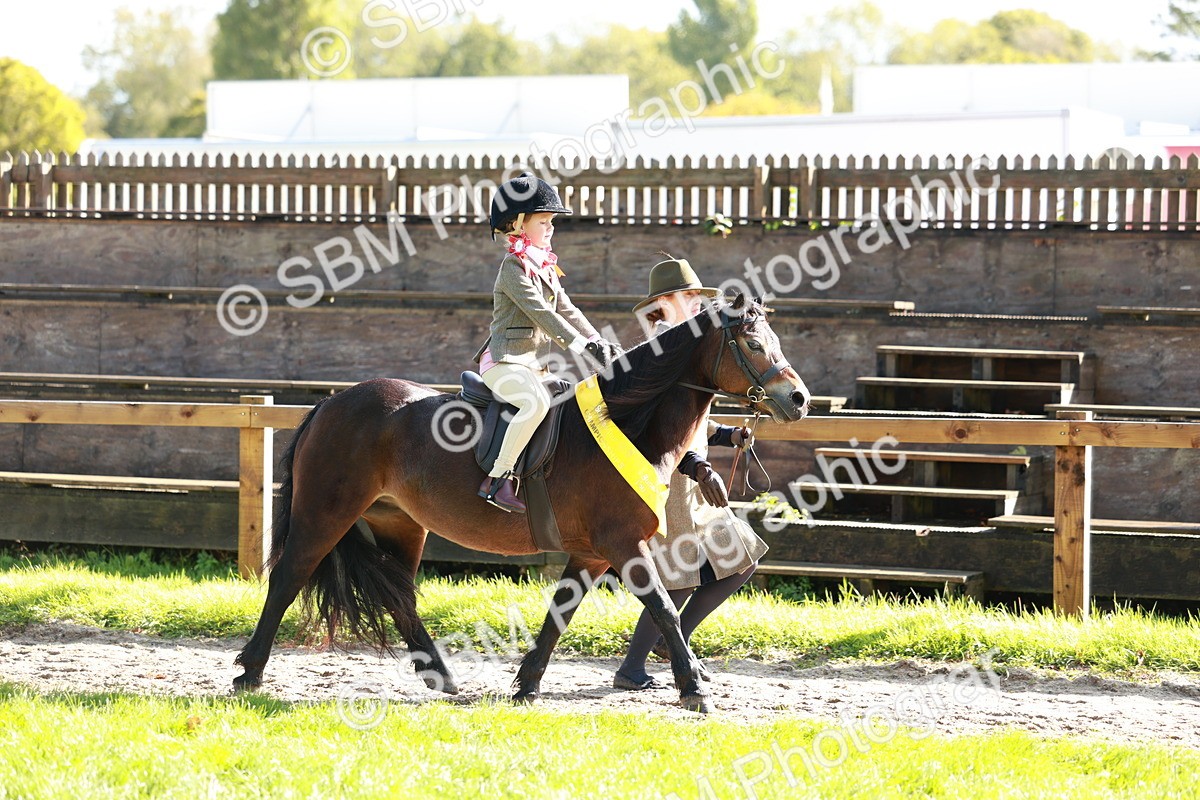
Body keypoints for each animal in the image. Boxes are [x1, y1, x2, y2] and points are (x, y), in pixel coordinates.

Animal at [233, 294, 811, 713]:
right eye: (753, 343)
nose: (799, 399)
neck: (628, 420)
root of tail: (331, 402)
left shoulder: (592, 554)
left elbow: (560, 614)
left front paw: (527, 685)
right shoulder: (623, 546)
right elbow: (666, 610)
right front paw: (694, 688)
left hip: (402, 525)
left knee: (400, 598)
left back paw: (441, 676)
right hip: (326, 513)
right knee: (288, 578)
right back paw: (250, 673)